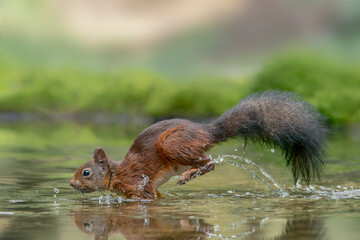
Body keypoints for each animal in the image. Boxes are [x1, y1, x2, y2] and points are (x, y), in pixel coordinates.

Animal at [69, 90, 328, 199]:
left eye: (86, 172)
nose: (70, 183)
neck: (117, 172)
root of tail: (206, 131)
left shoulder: (138, 180)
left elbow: (148, 194)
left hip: (173, 145)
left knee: (210, 162)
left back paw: (190, 174)